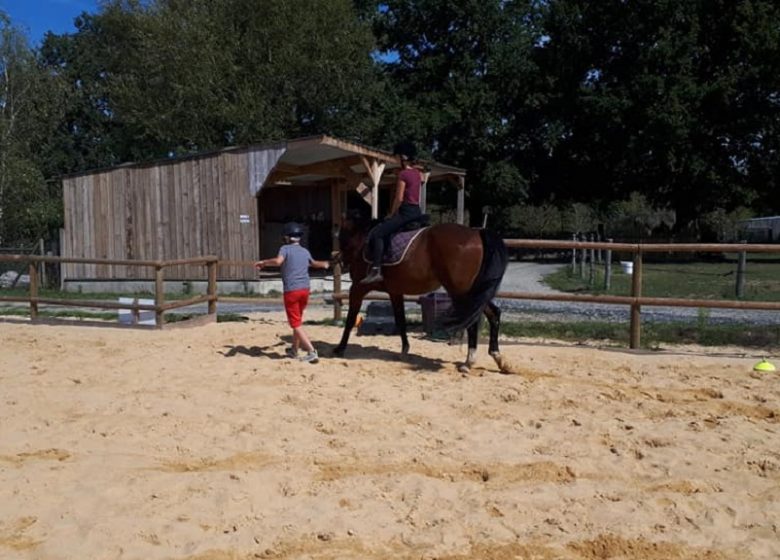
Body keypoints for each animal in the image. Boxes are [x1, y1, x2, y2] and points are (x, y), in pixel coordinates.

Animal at [330, 212, 508, 374]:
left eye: (341, 237)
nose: (341, 261)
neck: (363, 241)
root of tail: (476, 233)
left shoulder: (357, 288)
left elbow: (350, 319)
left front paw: (340, 348)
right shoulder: (395, 292)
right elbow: (400, 320)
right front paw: (404, 350)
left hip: (461, 291)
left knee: (472, 321)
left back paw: (468, 362)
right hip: (475, 292)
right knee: (493, 314)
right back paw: (499, 359)